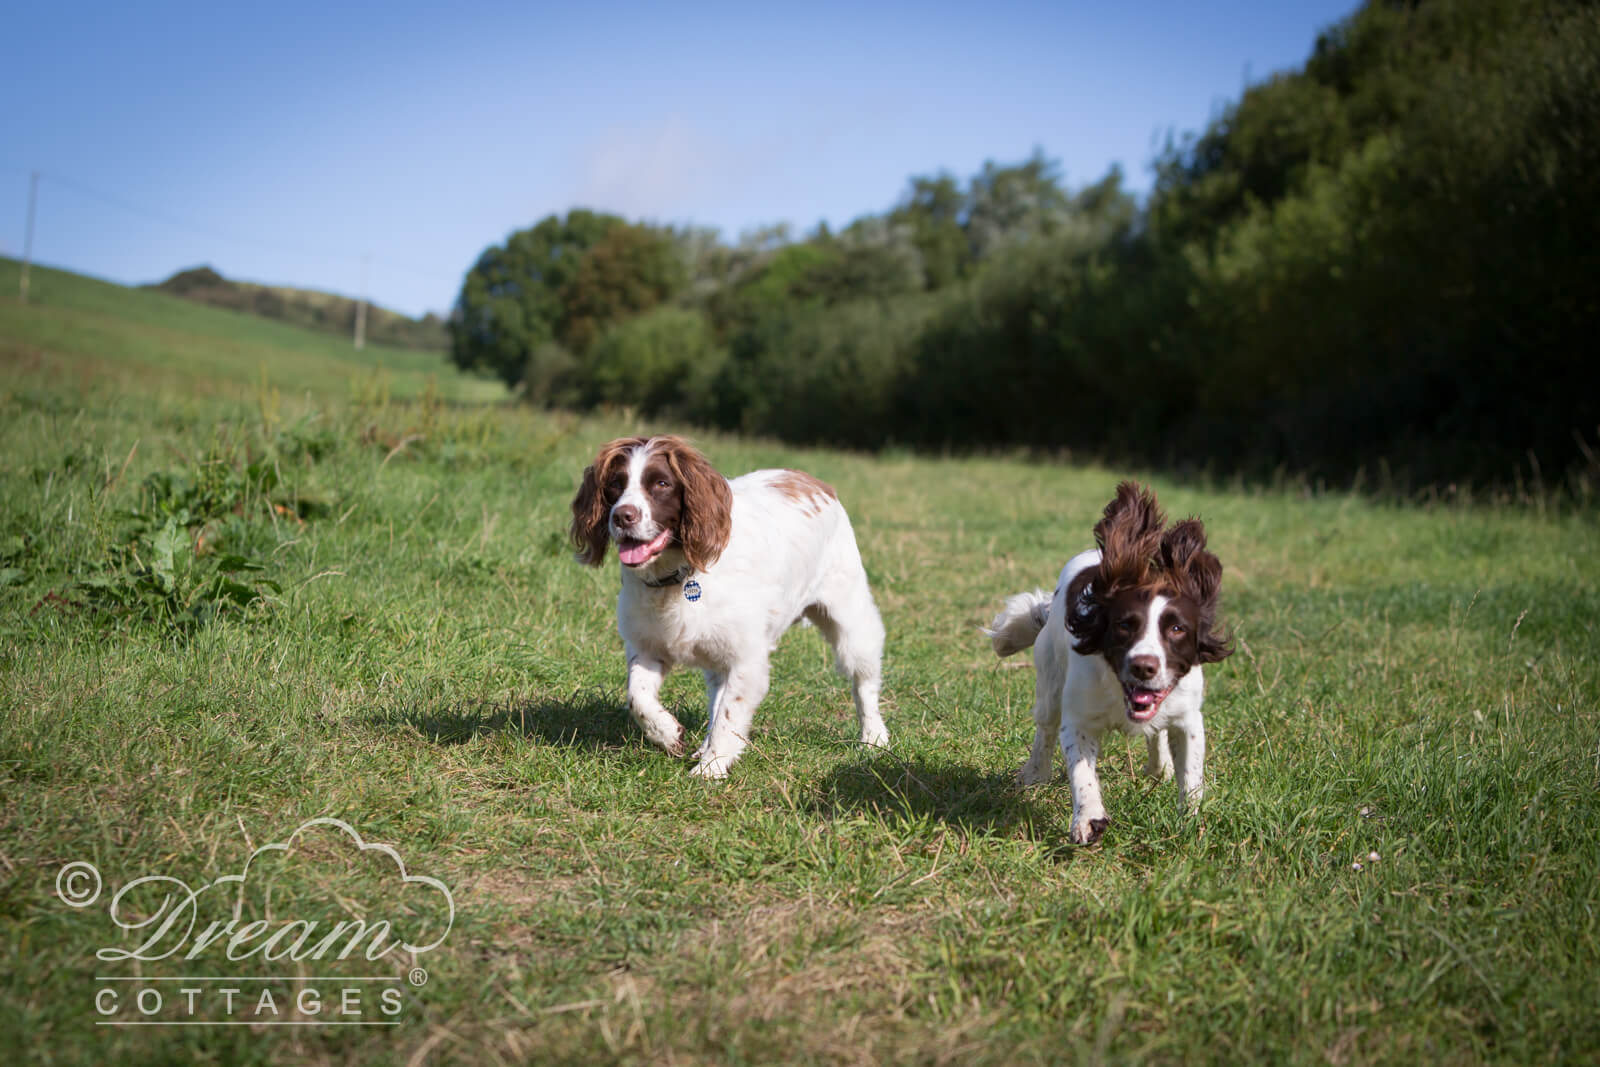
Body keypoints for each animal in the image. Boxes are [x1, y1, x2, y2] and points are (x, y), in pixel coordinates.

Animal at [572, 435, 889, 777]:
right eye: (615, 484)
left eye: (661, 483)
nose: (622, 516)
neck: (680, 576)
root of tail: (817, 482)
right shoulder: (647, 645)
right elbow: (638, 697)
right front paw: (668, 734)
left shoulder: (746, 658)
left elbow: (729, 713)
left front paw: (711, 769)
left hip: (850, 619)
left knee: (864, 682)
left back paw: (874, 738)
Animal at [979, 483, 1228, 844]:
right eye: (1125, 625)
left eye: (1177, 629)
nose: (1143, 666)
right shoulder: (1078, 718)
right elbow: (1082, 773)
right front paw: (1088, 820)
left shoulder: (1188, 717)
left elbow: (1191, 775)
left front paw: (1189, 823)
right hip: (1050, 680)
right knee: (1045, 728)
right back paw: (1034, 775)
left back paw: (1159, 767)